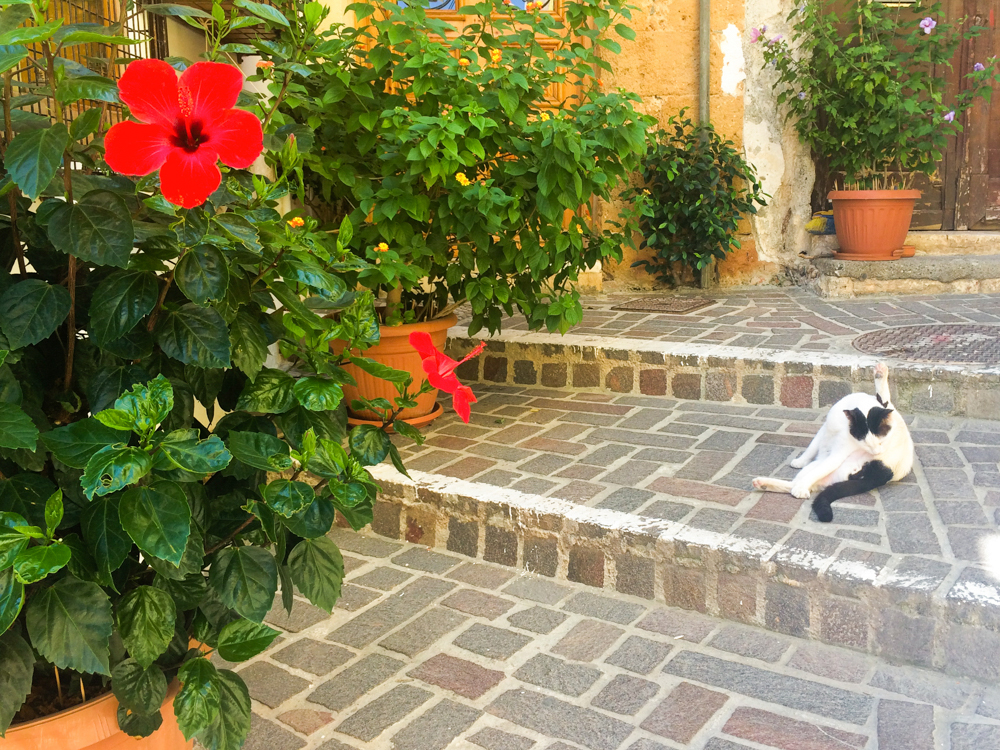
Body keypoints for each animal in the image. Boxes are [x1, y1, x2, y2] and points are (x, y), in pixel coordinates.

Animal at [752, 364, 912, 524]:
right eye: (865, 442)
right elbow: (812, 447)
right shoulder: (825, 429)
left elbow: (884, 399)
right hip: (820, 466)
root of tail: (881, 476)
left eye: (881, 442)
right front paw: (800, 460)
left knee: (804, 481)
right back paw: (763, 484)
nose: (877, 452)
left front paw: (880, 374)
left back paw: (792, 488)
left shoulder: (838, 454)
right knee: (796, 482)